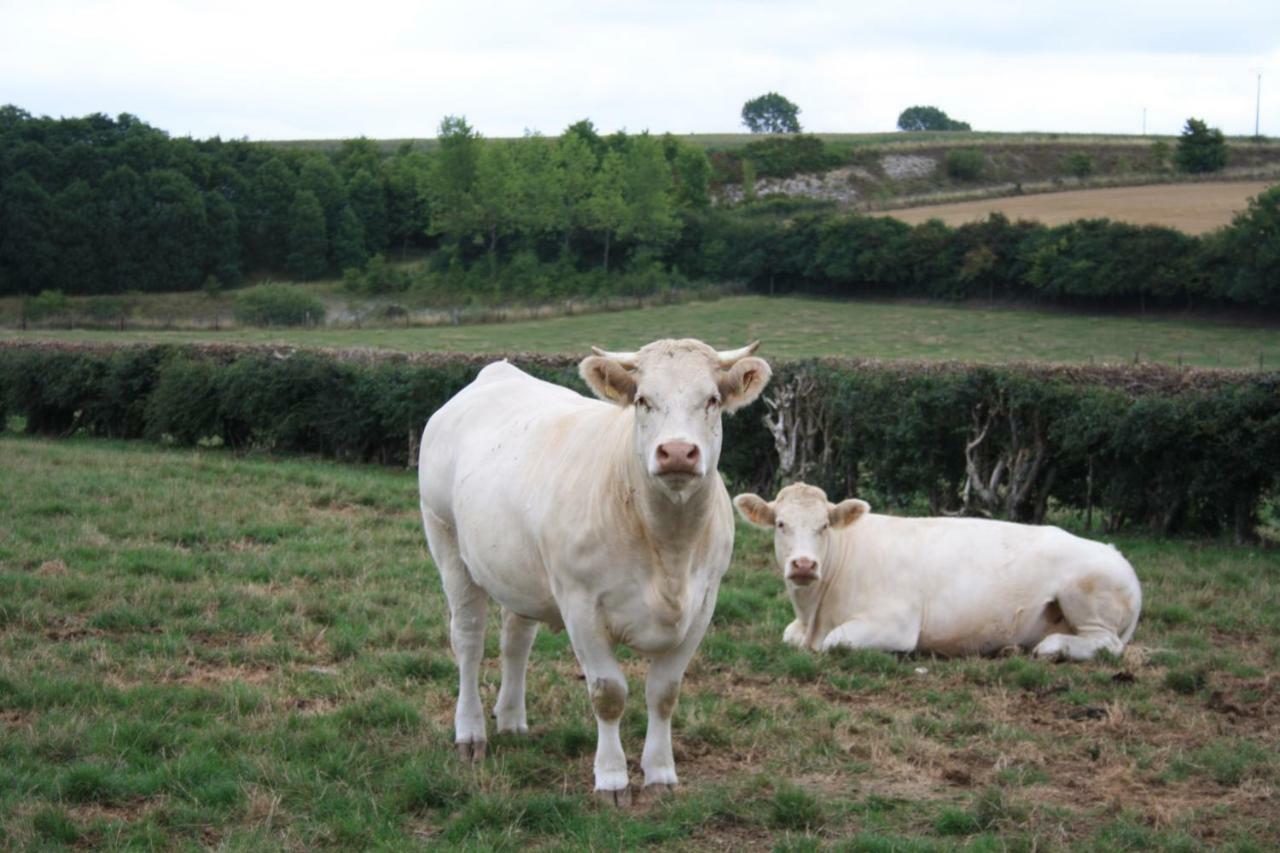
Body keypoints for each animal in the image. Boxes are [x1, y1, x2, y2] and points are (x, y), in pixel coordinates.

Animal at [419, 338, 768, 799]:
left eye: (711, 400)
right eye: (642, 400)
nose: (677, 452)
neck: (668, 548)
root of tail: (495, 373)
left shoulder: (703, 605)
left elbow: (664, 693)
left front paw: (660, 773)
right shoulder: (580, 604)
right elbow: (608, 693)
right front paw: (612, 777)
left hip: (519, 569)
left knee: (516, 640)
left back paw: (511, 719)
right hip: (445, 538)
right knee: (469, 640)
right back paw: (471, 731)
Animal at [732, 481, 1141, 653]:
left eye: (824, 526)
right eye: (781, 524)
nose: (803, 564)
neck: (814, 612)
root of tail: (1116, 553)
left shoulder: (895, 624)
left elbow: (836, 642)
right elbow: (789, 635)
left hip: (1086, 596)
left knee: (1106, 645)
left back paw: (1050, 646)